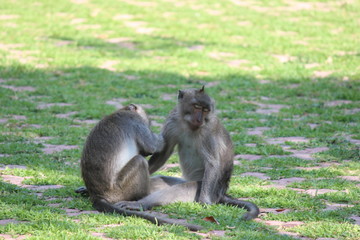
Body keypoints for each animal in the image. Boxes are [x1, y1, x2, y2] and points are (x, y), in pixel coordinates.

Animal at [80, 104, 202, 232]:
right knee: (140, 161)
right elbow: (151, 147)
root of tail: (97, 195)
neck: (121, 111)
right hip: (119, 190)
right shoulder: (136, 122)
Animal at [119, 87, 260, 220]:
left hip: (205, 188)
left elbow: (212, 163)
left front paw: (204, 201)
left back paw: (139, 204)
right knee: (159, 181)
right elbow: (164, 152)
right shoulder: (173, 120)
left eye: (205, 110)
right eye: (196, 106)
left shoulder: (209, 130)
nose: (199, 118)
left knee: (178, 190)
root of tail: (222, 192)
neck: (190, 125)